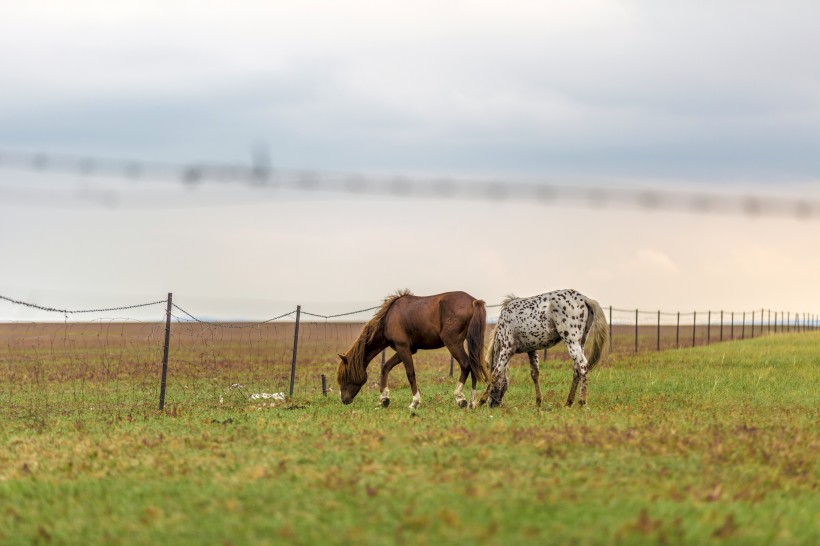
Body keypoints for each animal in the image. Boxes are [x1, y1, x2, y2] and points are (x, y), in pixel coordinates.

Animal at [338, 292, 490, 406]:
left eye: (344, 376)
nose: (344, 400)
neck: (388, 317)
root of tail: (474, 301)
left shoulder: (403, 347)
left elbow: (410, 373)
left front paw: (415, 402)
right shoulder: (406, 349)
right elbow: (386, 367)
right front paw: (384, 398)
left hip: (453, 343)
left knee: (466, 365)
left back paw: (460, 397)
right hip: (470, 342)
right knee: (475, 365)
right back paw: (473, 402)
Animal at [474, 288, 608, 408]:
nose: (492, 405)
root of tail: (584, 299)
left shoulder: (507, 349)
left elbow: (495, 373)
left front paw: (479, 402)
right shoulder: (531, 350)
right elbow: (535, 374)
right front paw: (538, 402)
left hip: (571, 342)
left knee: (583, 366)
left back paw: (581, 402)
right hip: (580, 343)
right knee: (577, 370)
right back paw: (568, 403)